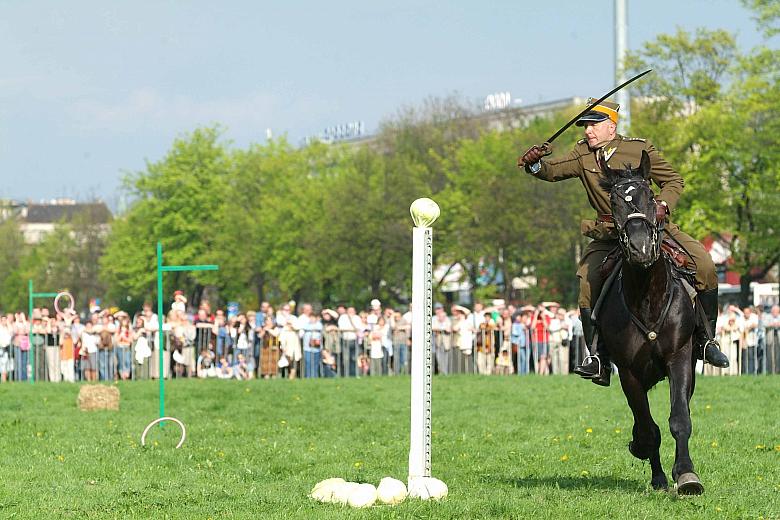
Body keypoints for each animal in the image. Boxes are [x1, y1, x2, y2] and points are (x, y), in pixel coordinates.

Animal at [596, 151, 700, 496]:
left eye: (651, 196)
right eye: (614, 201)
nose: (640, 247)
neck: (647, 298)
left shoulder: (680, 358)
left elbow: (679, 418)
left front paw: (687, 475)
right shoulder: (628, 372)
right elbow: (647, 427)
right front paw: (655, 471)